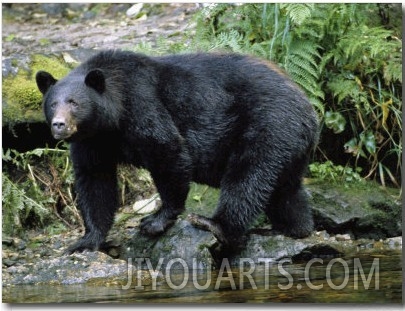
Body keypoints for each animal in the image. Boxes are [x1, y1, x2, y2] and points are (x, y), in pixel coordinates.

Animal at [36, 50, 318, 255]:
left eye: (74, 102)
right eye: (52, 104)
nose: (59, 125)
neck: (111, 121)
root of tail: (307, 106)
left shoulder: (141, 103)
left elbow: (167, 150)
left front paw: (155, 220)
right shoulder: (92, 141)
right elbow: (94, 180)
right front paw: (86, 241)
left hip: (268, 123)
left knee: (249, 175)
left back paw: (216, 224)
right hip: (289, 141)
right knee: (285, 189)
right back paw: (295, 227)